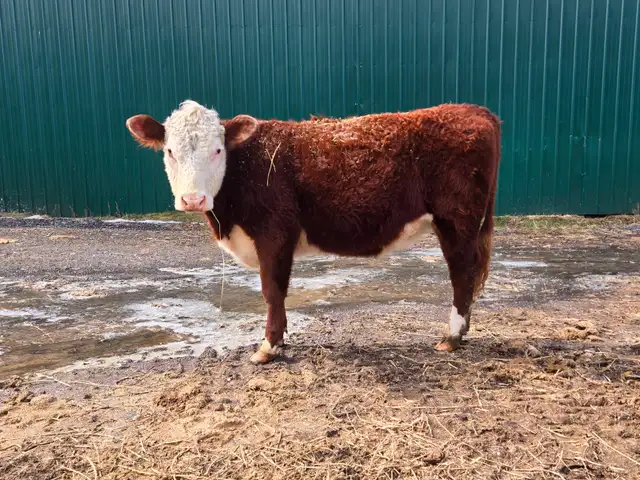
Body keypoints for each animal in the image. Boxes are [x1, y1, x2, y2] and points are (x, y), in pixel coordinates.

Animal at [126, 100, 501, 364]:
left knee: (462, 275)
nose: (193, 199)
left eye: (217, 150)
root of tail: (471, 110)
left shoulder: (274, 233)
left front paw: (269, 347)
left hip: (457, 221)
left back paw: (451, 338)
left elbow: (272, 291)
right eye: (170, 151)